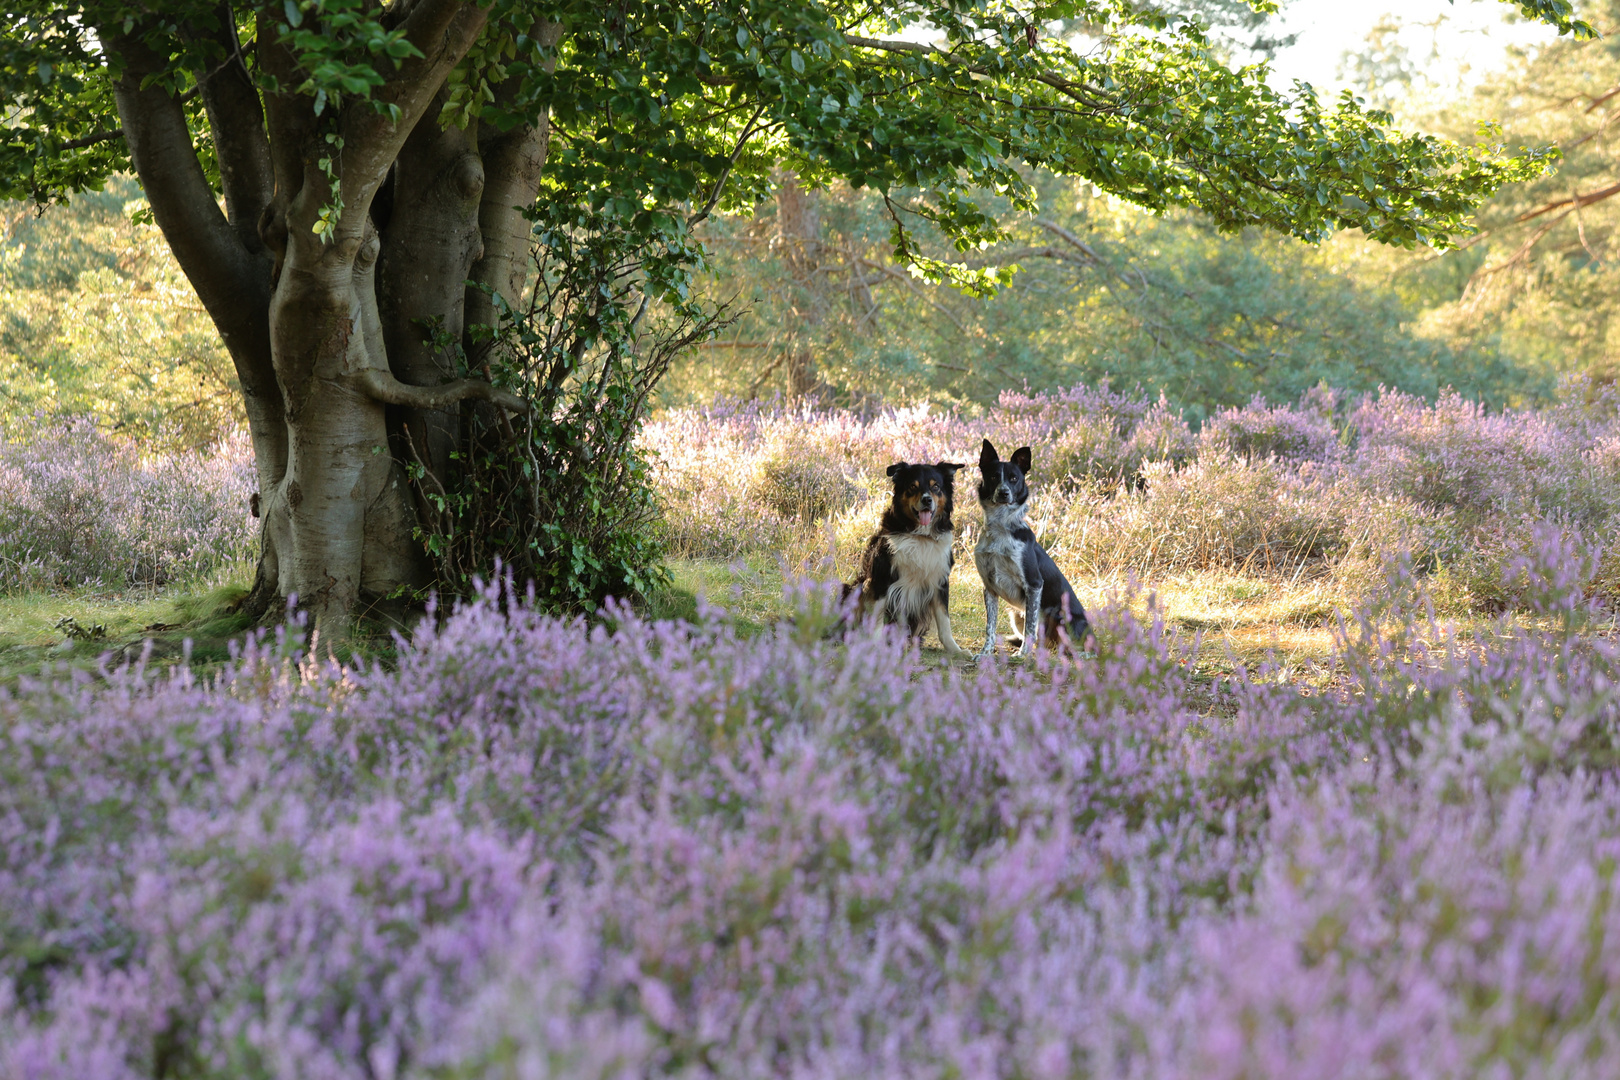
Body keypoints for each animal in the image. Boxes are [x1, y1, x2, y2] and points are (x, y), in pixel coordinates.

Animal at [842, 459, 965, 660]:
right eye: (912, 487)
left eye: (936, 487)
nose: (927, 500)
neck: (920, 536)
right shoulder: (881, 579)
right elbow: (877, 617)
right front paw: (874, 646)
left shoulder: (940, 582)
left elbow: (944, 622)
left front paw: (956, 650)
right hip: (853, 588)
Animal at [972, 440, 1088, 660]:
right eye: (993, 477)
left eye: (1014, 478)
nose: (1003, 492)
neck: (1000, 527)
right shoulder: (989, 587)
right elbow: (990, 627)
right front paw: (985, 653)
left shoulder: (1034, 584)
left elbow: (1031, 627)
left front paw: (1022, 655)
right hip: (1015, 614)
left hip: (1062, 618)